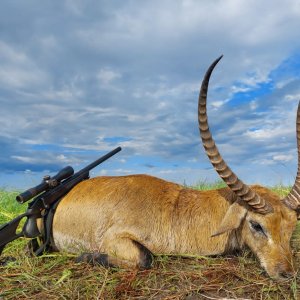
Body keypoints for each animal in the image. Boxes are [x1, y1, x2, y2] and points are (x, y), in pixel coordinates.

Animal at [52, 56, 300, 278]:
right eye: (257, 225)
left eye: (291, 226)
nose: (286, 274)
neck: (178, 210)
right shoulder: (114, 237)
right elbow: (145, 258)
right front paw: (86, 256)